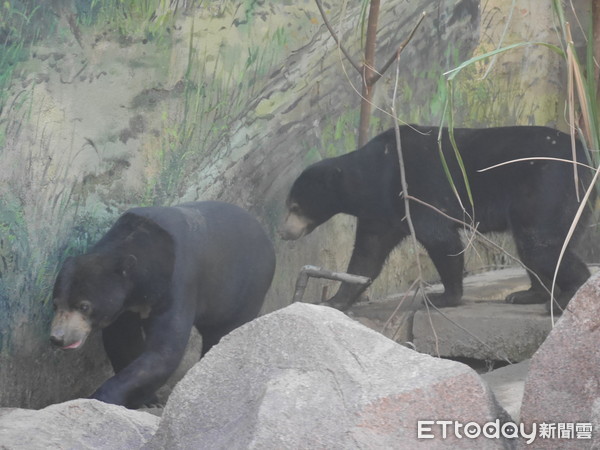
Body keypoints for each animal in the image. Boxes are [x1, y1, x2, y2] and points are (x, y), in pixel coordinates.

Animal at [50, 202, 276, 410]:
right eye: (55, 303)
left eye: (84, 306)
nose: (58, 337)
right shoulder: (125, 307)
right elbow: (123, 341)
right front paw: (146, 398)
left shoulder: (178, 284)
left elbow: (165, 350)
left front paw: (103, 397)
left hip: (244, 290)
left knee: (223, 333)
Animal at [280, 125, 592, 312]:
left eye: (294, 206)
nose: (284, 233)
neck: (372, 177)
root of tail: (587, 159)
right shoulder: (381, 213)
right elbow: (366, 257)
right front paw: (333, 301)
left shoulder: (414, 189)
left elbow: (440, 238)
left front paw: (440, 297)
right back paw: (528, 294)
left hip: (548, 187)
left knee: (541, 245)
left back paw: (565, 296)